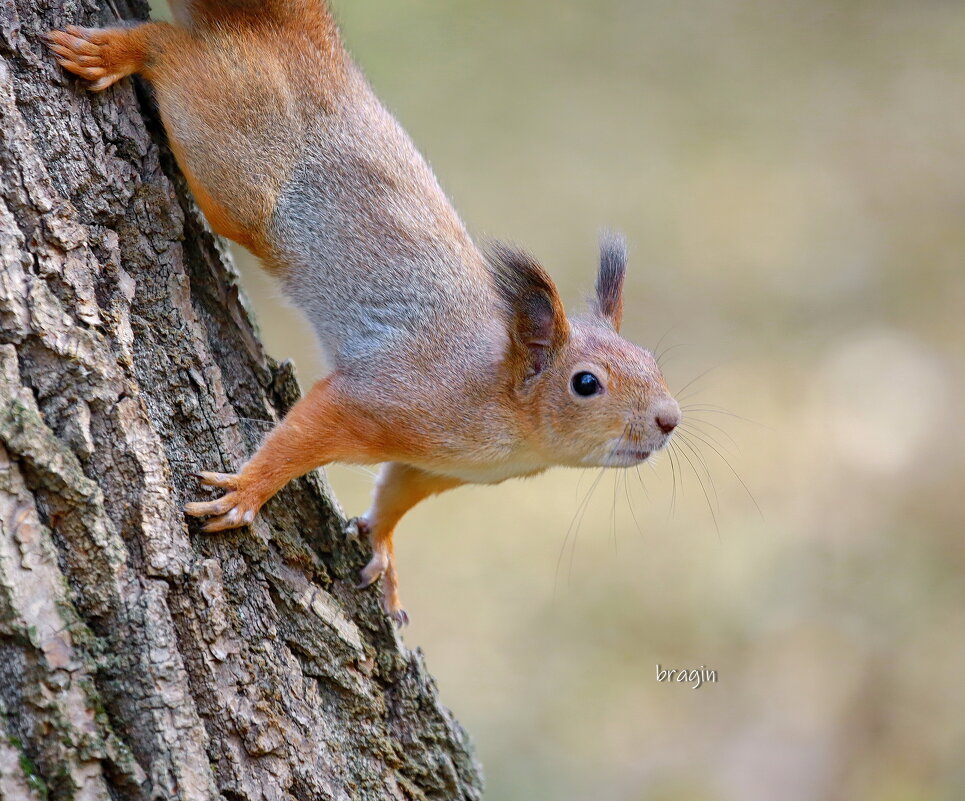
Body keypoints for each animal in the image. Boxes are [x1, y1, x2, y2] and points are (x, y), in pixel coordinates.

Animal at [45, 0, 676, 624]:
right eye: (586, 383)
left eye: (651, 361)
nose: (670, 419)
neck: (504, 407)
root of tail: (308, 41)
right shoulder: (386, 397)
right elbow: (307, 431)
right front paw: (249, 491)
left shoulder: (430, 467)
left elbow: (396, 495)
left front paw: (385, 551)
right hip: (236, 157)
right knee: (175, 54)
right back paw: (121, 51)